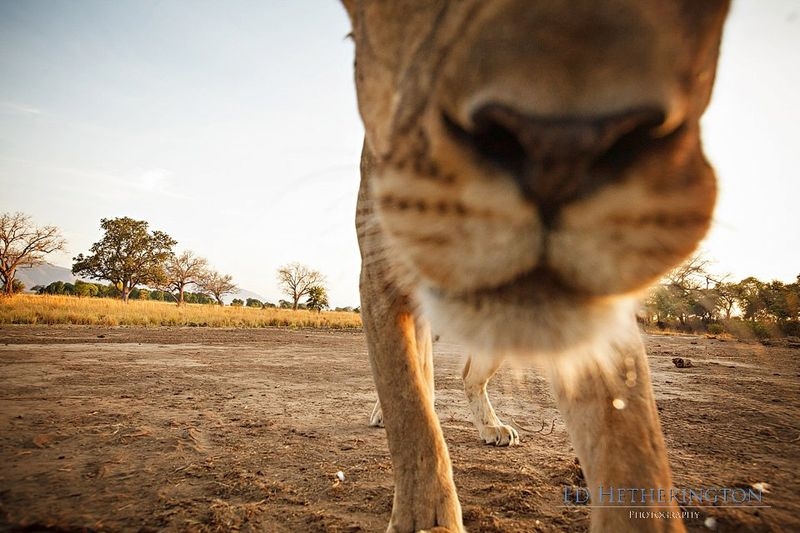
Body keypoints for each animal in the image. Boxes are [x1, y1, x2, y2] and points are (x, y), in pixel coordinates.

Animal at [340, 2, 728, 528]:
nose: (560, 149)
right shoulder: (379, 275)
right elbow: (408, 407)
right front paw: (427, 521)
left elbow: (631, 440)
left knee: (467, 375)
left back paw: (492, 427)